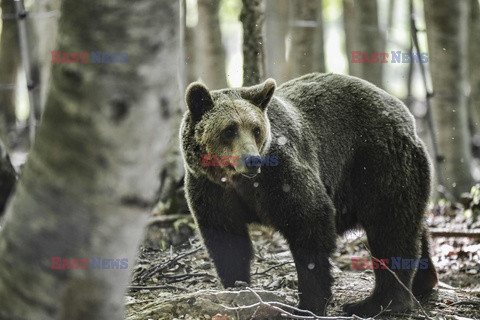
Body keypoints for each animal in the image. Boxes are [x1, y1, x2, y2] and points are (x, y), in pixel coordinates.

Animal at [178, 72, 436, 316]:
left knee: (389, 228)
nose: (252, 160)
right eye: (229, 129)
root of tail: (403, 112)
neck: (237, 180)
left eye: (256, 129)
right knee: (409, 226)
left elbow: (309, 223)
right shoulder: (211, 189)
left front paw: (309, 303)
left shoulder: (280, 176)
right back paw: (423, 282)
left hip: (376, 163)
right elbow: (226, 240)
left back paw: (377, 303)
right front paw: (236, 287)